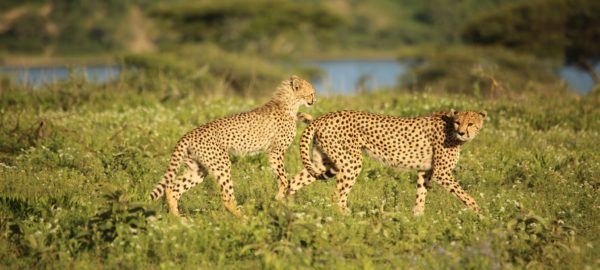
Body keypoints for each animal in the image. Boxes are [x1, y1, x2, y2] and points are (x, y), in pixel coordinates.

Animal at [150, 76, 316, 217]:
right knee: (227, 199)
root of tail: (188, 134)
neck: (288, 103)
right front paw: (281, 194)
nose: (314, 100)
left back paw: (178, 220)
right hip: (221, 164)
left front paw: (308, 117)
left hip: (197, 169)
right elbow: (283, 177)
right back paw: (245, 218)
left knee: (171, 189)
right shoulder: (275, 152)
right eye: (311, 93)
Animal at [288, 108, 490, 216]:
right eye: (458, 122)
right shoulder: (442, 173)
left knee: (292, 182)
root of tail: (323, 117)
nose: (462, 132)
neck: (450, 129)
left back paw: (283, 207)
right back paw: (347, 217)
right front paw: (481, 214)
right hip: (351, 163)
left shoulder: (425, 171)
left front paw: (417, 217)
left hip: (324, 163)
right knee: (336, 195)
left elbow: (421, 194)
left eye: (470, 123)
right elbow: (465, 195)